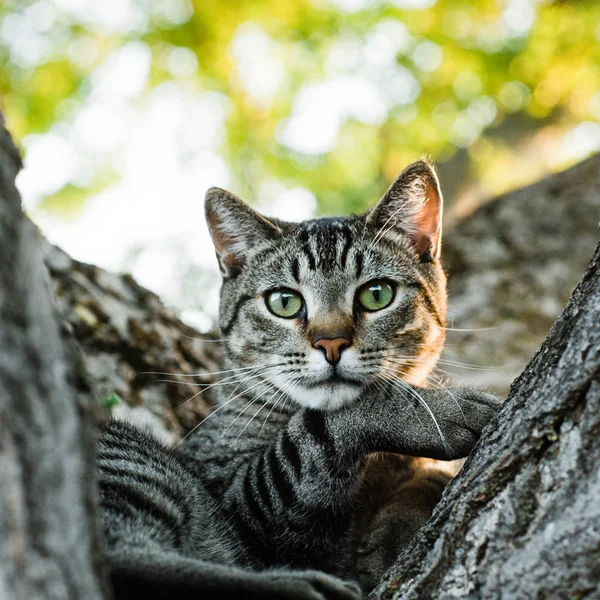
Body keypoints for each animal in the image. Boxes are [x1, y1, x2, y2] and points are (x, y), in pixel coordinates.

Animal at [99, 161, 502, 600]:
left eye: (377, 294)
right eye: (284, 302)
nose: (331, 342)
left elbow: (428, 477)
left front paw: (396, 524)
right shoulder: (240, 502)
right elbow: (323, 428)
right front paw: (445, 410)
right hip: (136, 463)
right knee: (124, 559)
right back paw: (303, 586)